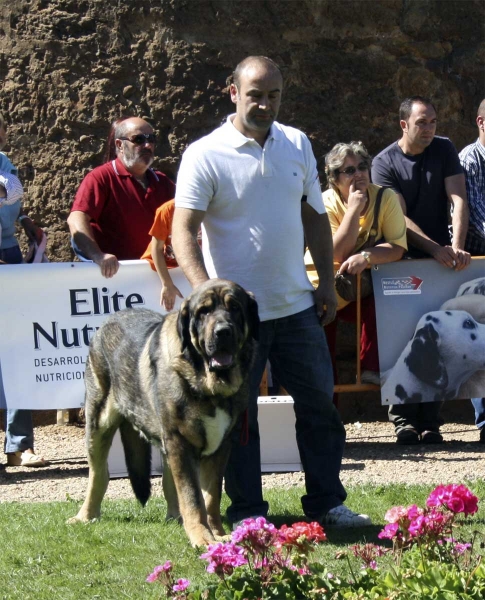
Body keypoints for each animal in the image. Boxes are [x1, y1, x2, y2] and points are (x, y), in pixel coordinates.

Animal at [68, 278, 260, 548]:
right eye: (204, 312)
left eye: (235, 308)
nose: (223, 331)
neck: (207, 384)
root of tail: (107, 321)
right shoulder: (180, 442)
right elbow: (192, 496)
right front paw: (202, 536)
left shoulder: (221, 446)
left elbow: (211, 496)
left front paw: (217, 533)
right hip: (99, 422)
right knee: (99, 474)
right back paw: (85, 515)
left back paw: (175, 517)